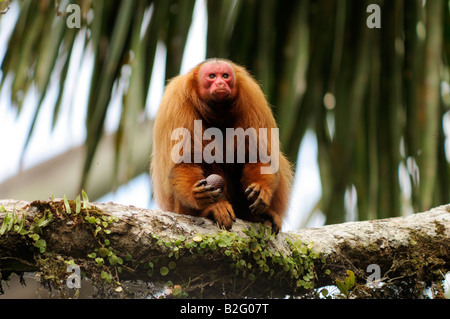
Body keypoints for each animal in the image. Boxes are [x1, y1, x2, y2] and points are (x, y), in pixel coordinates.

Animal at [149, 58, 294, 232]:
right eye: (212, 76)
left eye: (225, 76)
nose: (220, 83)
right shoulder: (176, 103)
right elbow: (182, 163)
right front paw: (199, 197)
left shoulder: (253, 97)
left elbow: (259, 156)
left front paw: (261, 189)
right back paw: (211, 209)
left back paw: (261, 215)